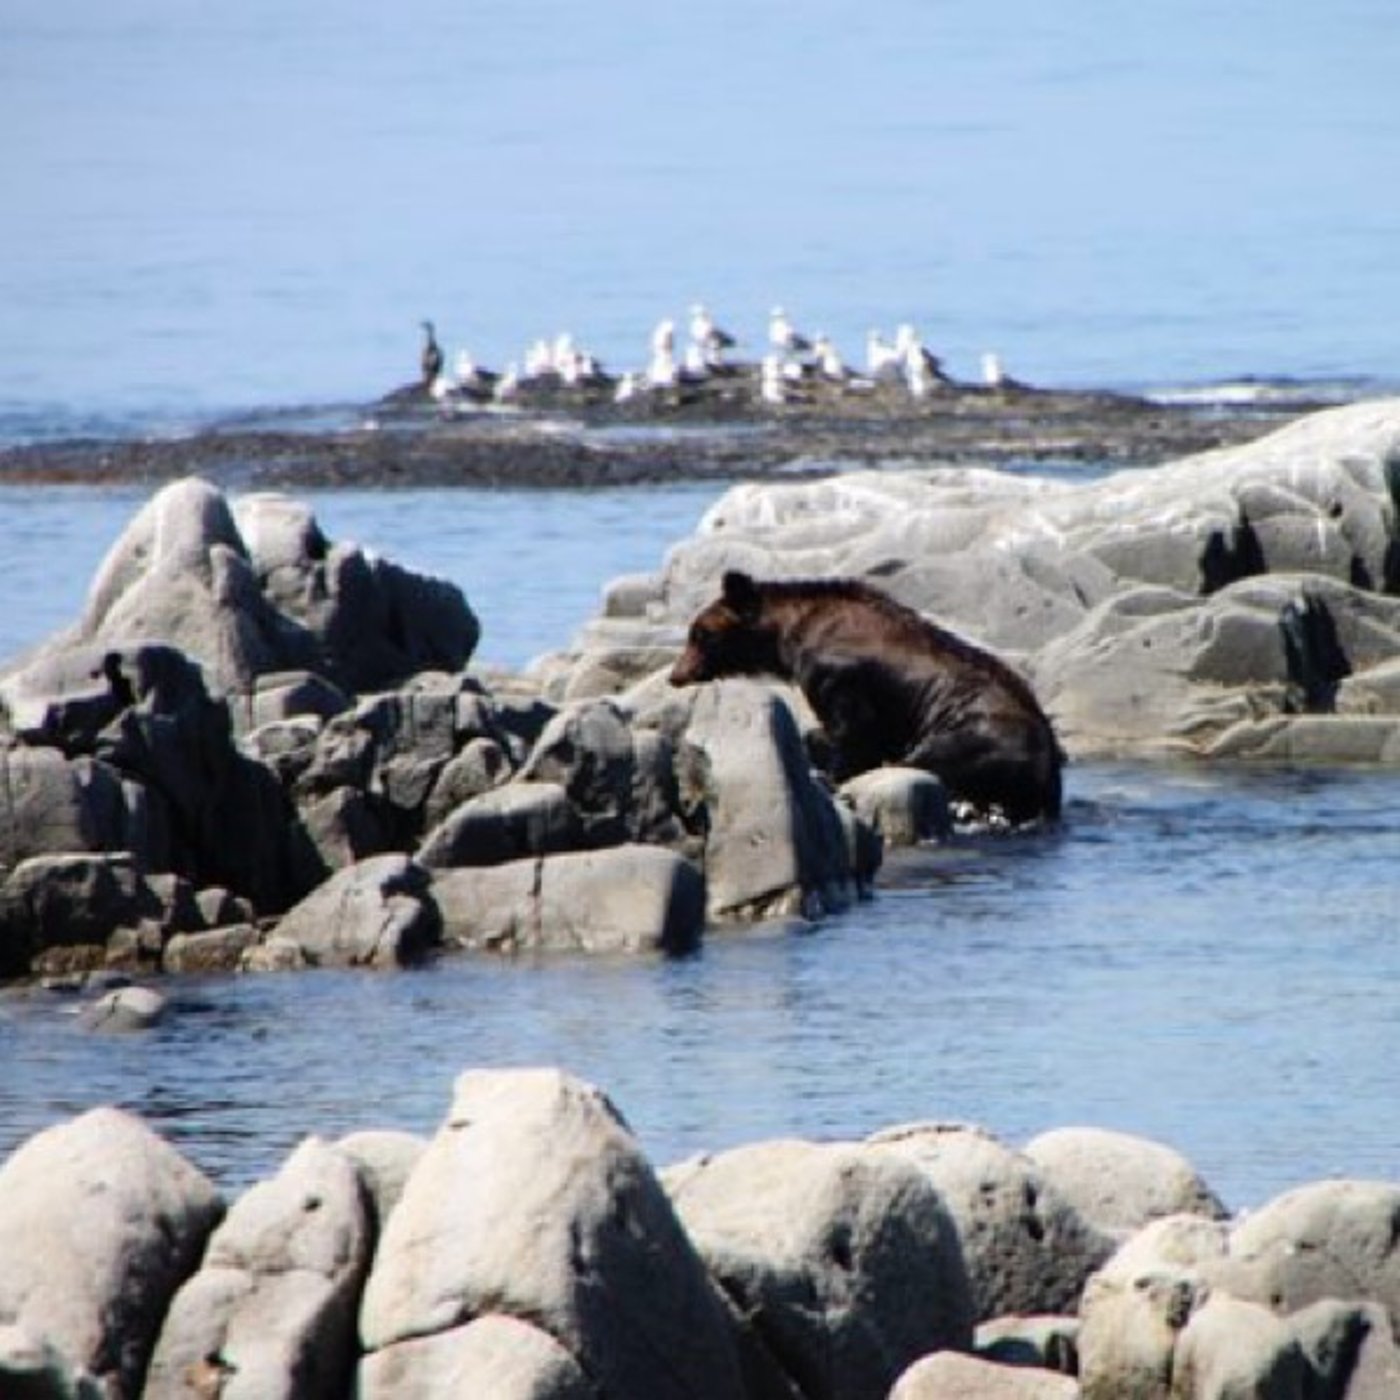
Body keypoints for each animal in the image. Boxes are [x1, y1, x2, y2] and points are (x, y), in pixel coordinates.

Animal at [669, 570, 1064, 824]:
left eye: (700, 634)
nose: (676, 674)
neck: (787, 641)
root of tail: (1047, 766)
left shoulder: (841, 677)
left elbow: (852, 734)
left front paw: (831, 775)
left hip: (979, 734)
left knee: (929, 758)